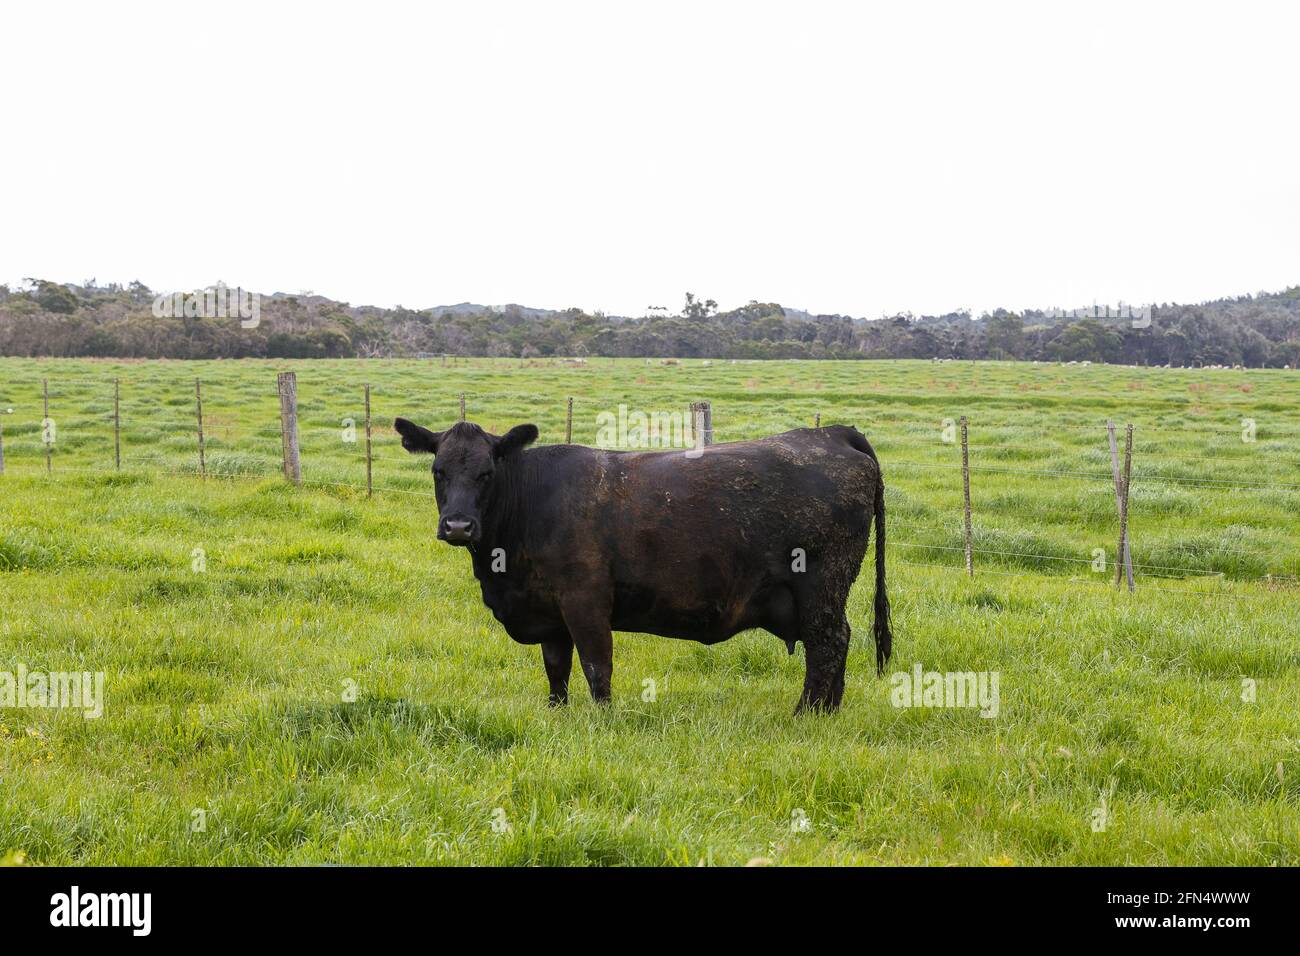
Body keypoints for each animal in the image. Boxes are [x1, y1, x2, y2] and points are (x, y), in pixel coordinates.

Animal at [390, 416, 889, 712]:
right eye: (438, 471)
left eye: (486, 473)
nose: (458, 526)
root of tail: (830, 433)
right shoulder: (549, 611)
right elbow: (556, 668)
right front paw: (556, 713)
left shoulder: (585, 601)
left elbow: (597, 666)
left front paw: (603, 719)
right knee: (836, 642)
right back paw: (829, 711)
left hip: (821, 585)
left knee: (828, 643)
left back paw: (807, 713)